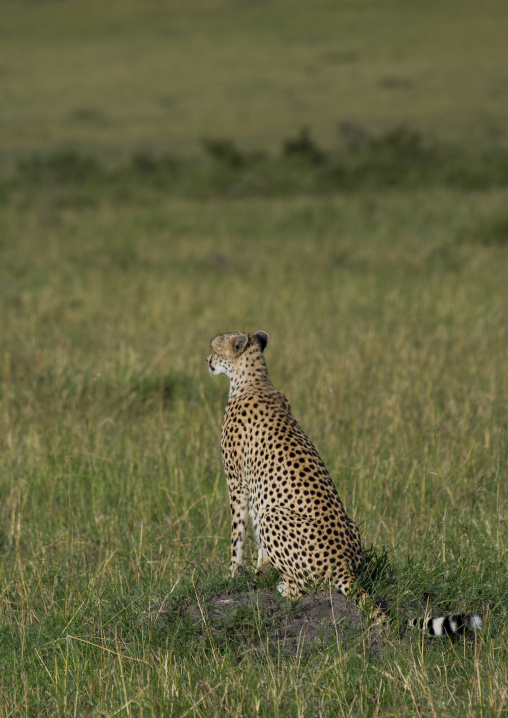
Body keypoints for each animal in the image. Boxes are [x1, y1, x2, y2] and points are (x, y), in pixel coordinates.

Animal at [207, 330, 482, 637]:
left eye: (214, 349)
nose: (207, 361)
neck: (253, 380)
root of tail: (344, 565)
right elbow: (256, 545)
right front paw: (256, 574)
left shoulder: (237, 483)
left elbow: (237, 535)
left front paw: (233, 575)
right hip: (349, 524)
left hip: (273, 516)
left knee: (303, 587)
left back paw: (284, 589)